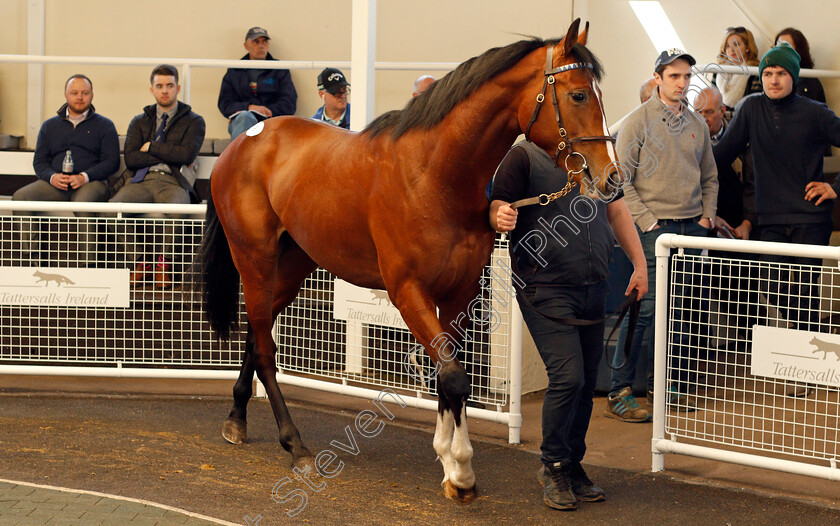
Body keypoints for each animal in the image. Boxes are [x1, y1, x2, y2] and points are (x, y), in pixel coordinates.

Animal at [199, 18, 616, 504]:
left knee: (255, 334)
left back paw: (237, 418)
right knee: (265, 349)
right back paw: (296, 446)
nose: (610, 176)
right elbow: (453, 375)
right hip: (255, 259)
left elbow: (451, 371)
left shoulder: (459, 291)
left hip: (292, 266)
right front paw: (459, 469)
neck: (433, 174)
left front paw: (450, 459)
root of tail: (240, 145)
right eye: (579, 95)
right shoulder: (406, 290)